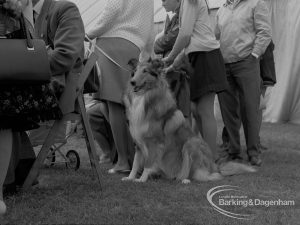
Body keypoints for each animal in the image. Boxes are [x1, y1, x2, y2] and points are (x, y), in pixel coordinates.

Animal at [122, 58, 255, 183]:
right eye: (134, 72)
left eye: (145, 71)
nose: (132, 82)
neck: (144, 97)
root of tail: (215, 166)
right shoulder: (138, 142)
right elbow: (135, 163)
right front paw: (129, 178)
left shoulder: (154, 142)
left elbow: (147, 164)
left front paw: (141, 179)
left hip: (191, 143)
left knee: (204, 174)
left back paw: (185, 179)